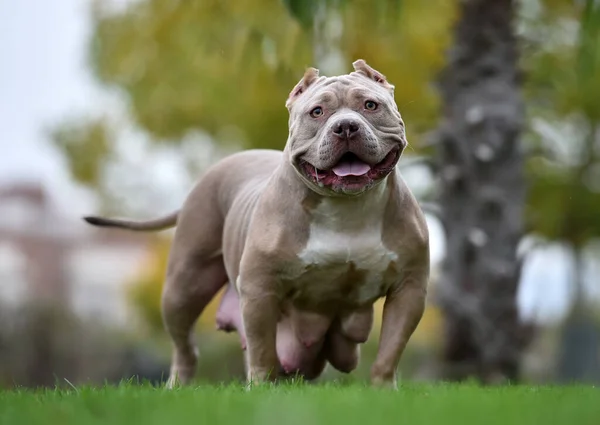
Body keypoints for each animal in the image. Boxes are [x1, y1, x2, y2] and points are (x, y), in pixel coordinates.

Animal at [85, 59, 432, 388]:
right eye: (317, 112)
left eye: (370, 105)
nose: (346, 126)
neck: (346, 207)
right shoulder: (259, 289)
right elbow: (263, 351)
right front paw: (263, 388)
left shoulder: (409, 289)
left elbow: (389, 351)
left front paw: (383, 389)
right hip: (183, 287)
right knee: (187, 346)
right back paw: (178, 384)